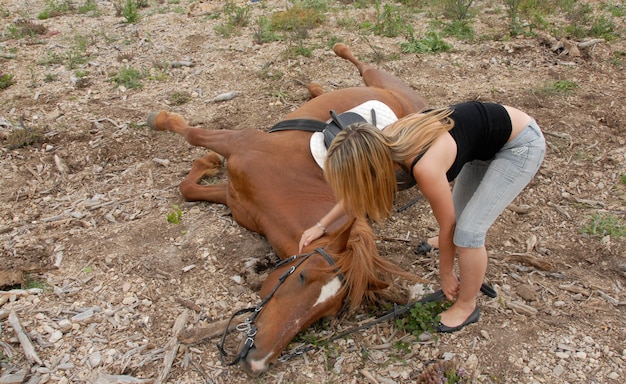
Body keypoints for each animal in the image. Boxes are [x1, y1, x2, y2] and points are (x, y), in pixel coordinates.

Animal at [147, 43, 428, 376]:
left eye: (325, 315)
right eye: (302, 276)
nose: (258, 362)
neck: (290, 186)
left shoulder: (234, 197)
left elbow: (188, 186)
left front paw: (205, 162)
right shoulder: (238, 147)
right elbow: (191, 142)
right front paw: (165, 122)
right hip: (379, 79)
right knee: (362, 63)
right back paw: (330, 64)